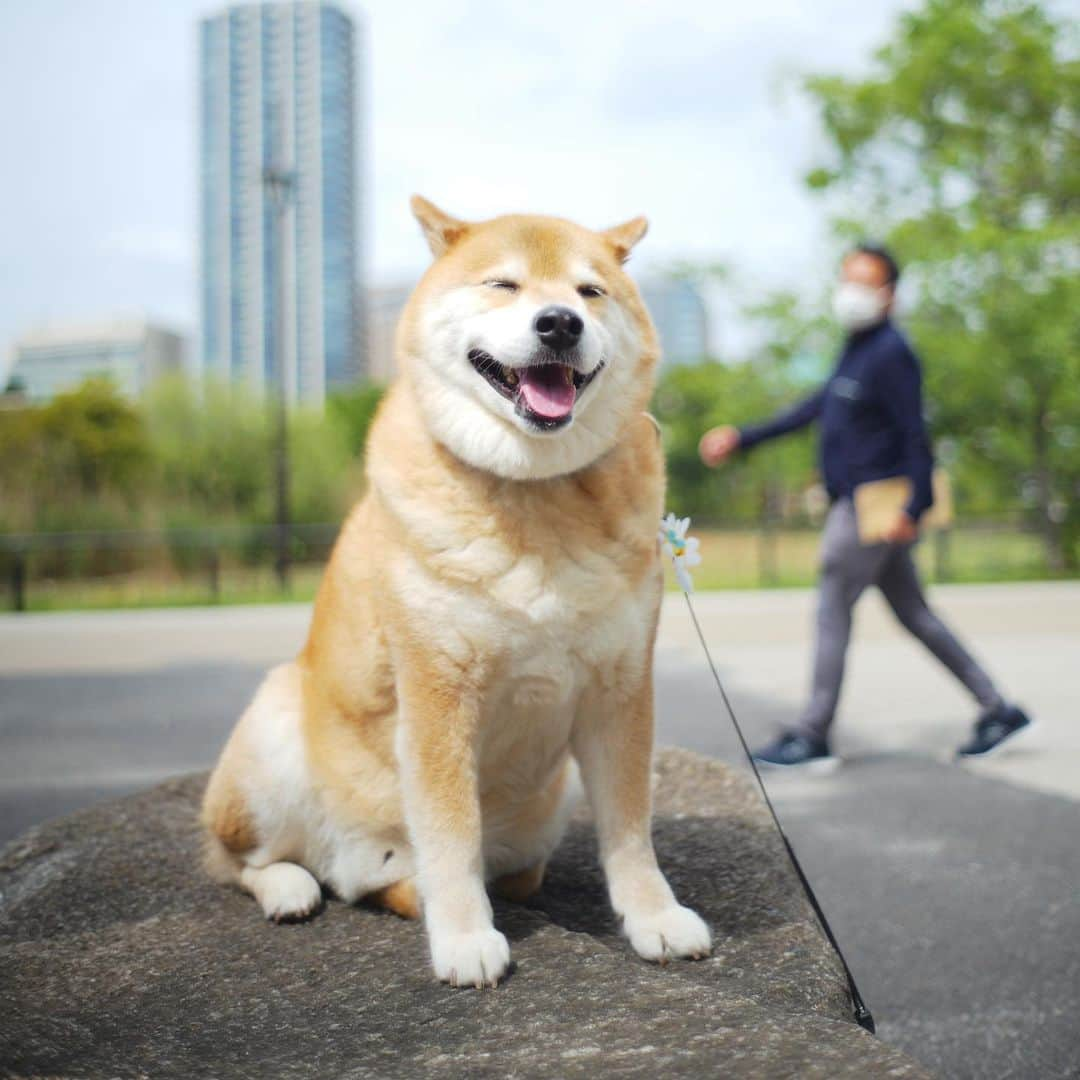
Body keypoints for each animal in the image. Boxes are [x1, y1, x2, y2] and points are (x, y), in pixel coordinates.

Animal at [203, 194, 712, 989]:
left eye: (590, 291)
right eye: (503, 284)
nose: (560, 322)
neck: (534, 492)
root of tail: (349, 861)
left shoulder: (621, 685)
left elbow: (630, 826)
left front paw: (654, 918)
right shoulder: (437, 690)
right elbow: (449, 832)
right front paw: (466, 937)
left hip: (537, 818)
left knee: (486, 875)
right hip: (272, 725)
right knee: (240, 861)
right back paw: (291, 886)